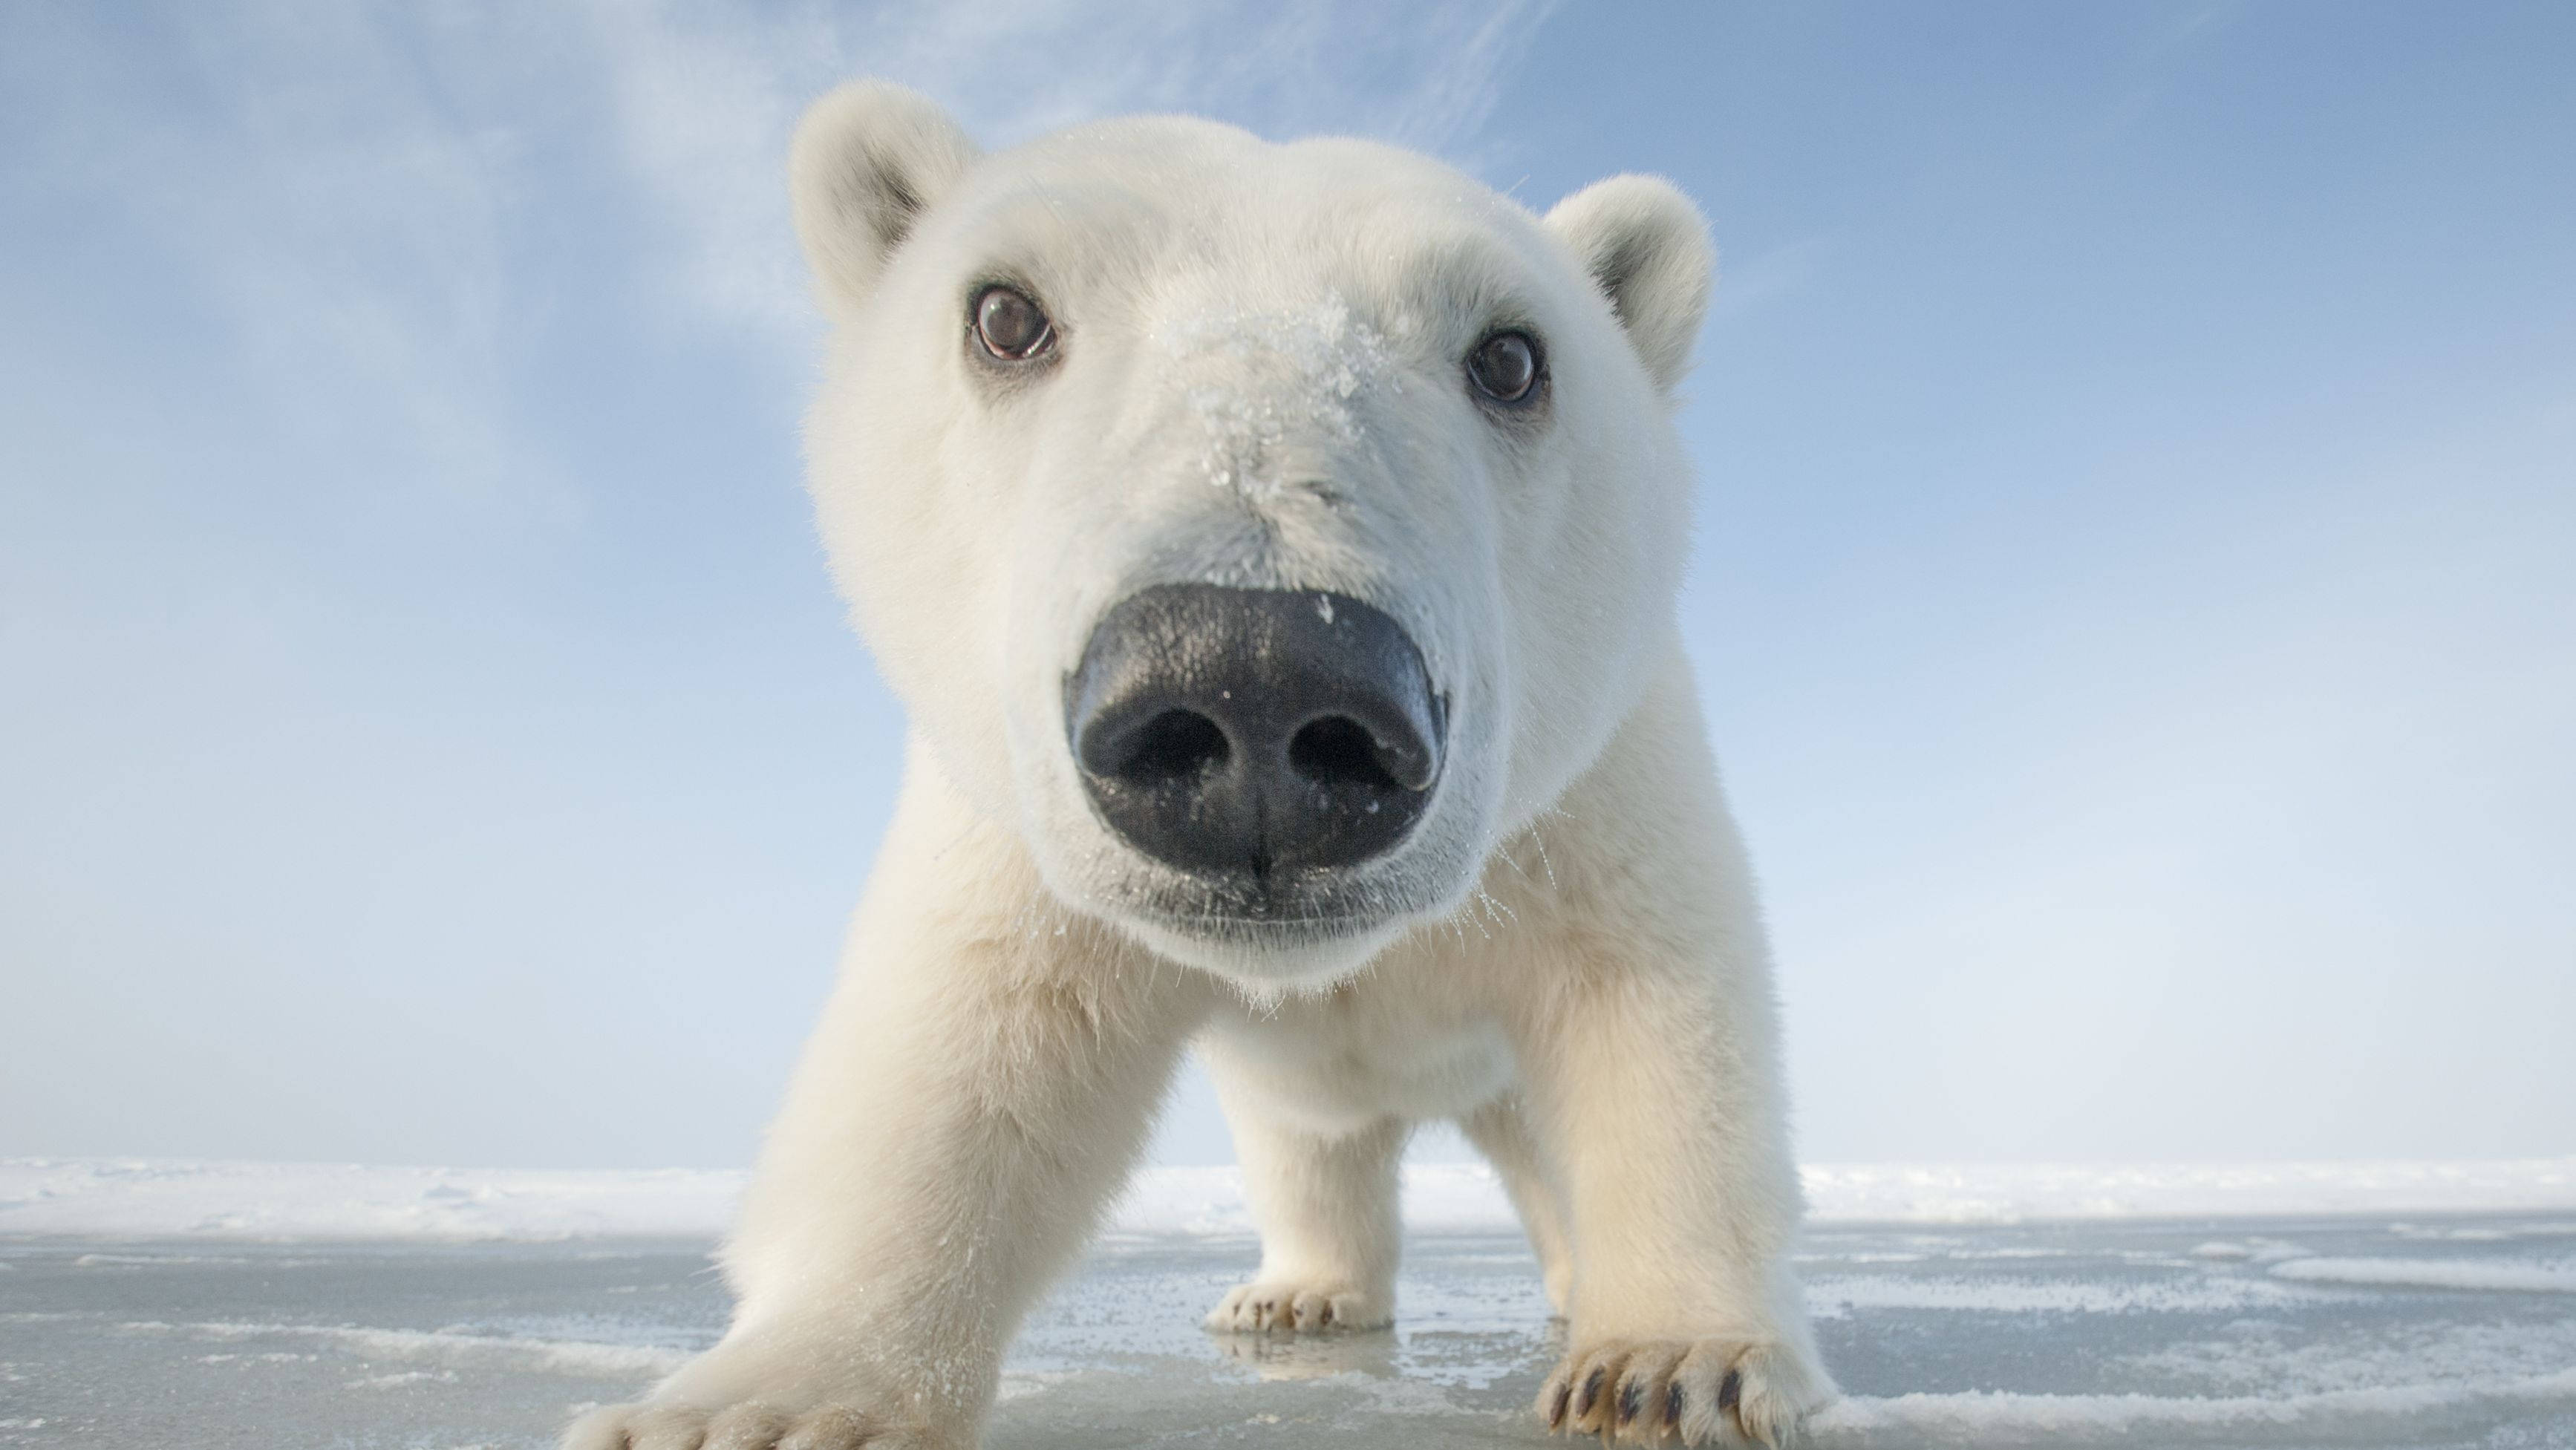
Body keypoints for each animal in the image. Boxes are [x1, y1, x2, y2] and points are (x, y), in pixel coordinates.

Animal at [567, 80, 1833, 1450]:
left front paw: (1675, 1361)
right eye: (1004, 314)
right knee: (1310, 1144)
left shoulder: (1594, 797)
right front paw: (754, 1405)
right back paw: (1298, 1293)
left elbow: (1654, 1015)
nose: (1256, 682)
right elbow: (964, 1052)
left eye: (1510, 356)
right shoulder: (1013, 844)